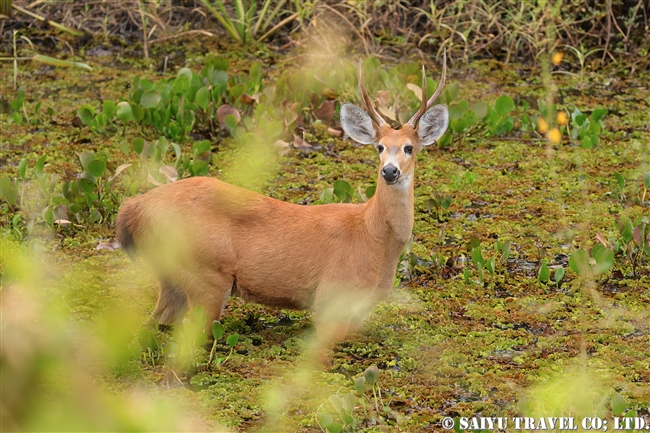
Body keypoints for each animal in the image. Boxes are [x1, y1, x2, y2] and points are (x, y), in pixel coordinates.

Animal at [115, 55, 446, 342]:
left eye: (409, 147)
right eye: (379, 147)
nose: (389, 171)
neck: (373, 237)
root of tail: (133, 208)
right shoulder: (331, 297)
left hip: (172, 276)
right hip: (204, 274)